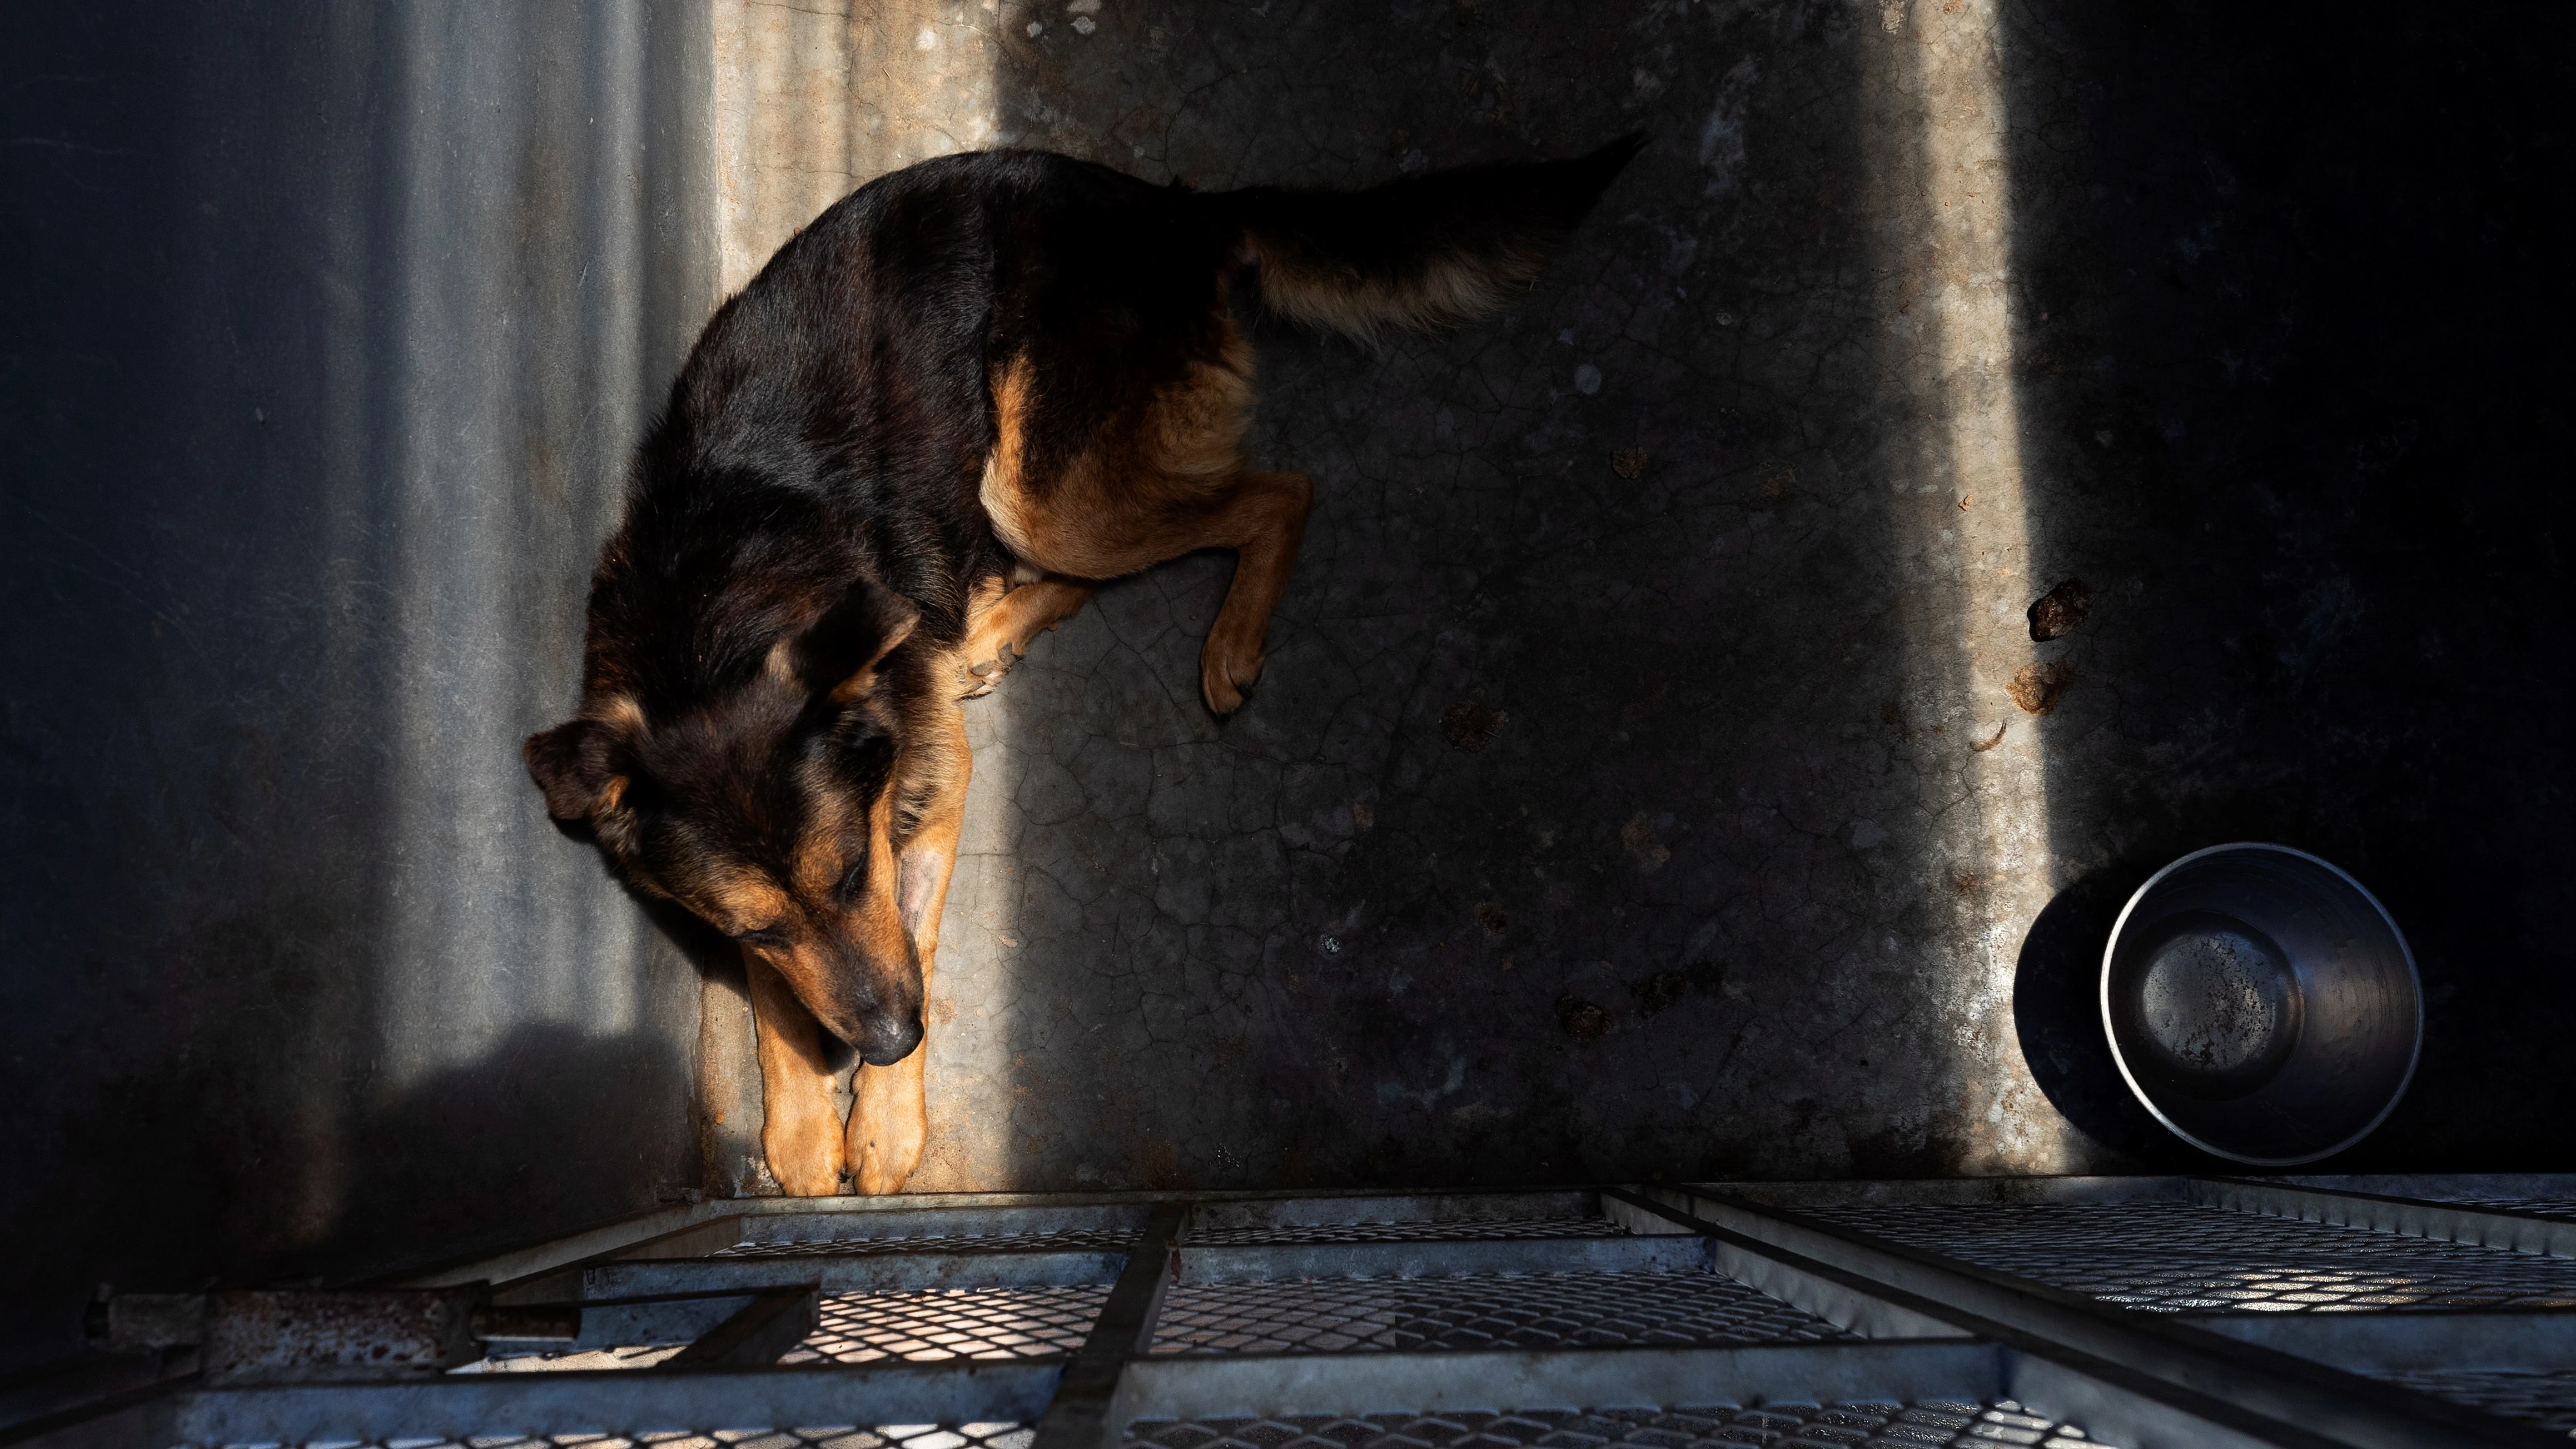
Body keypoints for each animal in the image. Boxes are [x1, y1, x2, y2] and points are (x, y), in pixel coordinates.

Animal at [530, 139, 1638, 1204]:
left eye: (848, 873)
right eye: (749, 929)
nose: (890, 1041)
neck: (712, 605)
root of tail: (1167, 209)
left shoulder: (927, 790)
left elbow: (911, 931)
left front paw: (882, 1124)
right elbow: (782, 991)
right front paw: (804, 1123)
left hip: (1033, 485)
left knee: (1276, 491)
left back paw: (1225, 642)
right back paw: (982, 635)